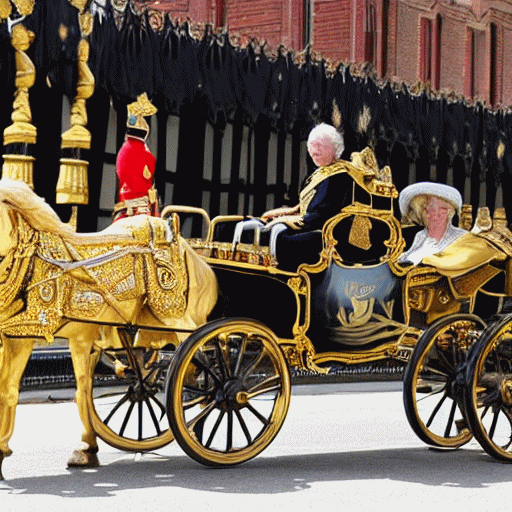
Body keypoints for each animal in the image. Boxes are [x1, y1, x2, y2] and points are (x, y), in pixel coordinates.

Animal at [0, 178, 218, 478]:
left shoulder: (22, 336)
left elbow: (6, 390)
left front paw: (1, 451)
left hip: (179, 320)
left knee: (204, 365)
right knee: (101, 386)